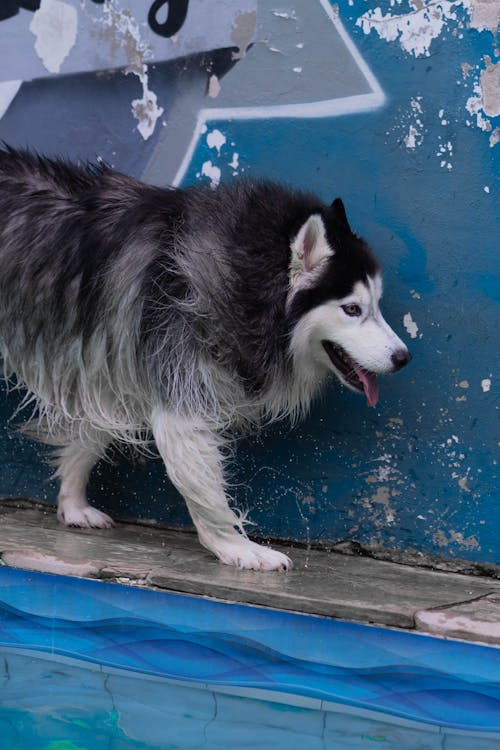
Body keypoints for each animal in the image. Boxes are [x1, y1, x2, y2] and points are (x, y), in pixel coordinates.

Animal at [0, 145, 410, 568]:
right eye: (352, 309)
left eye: (376, 304)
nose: (403, 357)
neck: (245, 271)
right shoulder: (179, 398)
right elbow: (202, 488)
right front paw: (237, 547)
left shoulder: (108, 369)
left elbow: (90, 435)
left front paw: (72, 502)